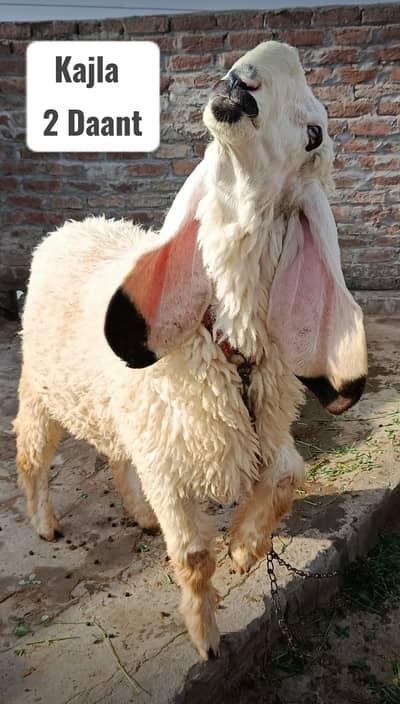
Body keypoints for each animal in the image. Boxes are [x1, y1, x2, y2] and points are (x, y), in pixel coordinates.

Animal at [14, 41, 368, 660]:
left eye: (314, 135)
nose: (245, 77)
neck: (228, 344)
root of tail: (73, 225)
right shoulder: (169, 462)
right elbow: (194, 555)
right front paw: (206, 639)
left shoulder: (259, 425)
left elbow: (289, 476)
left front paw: (246, 548)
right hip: (40, 382)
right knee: (31, 450)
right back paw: (45, 522)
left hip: (121, 408)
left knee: (116, 454)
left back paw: (138, 515)